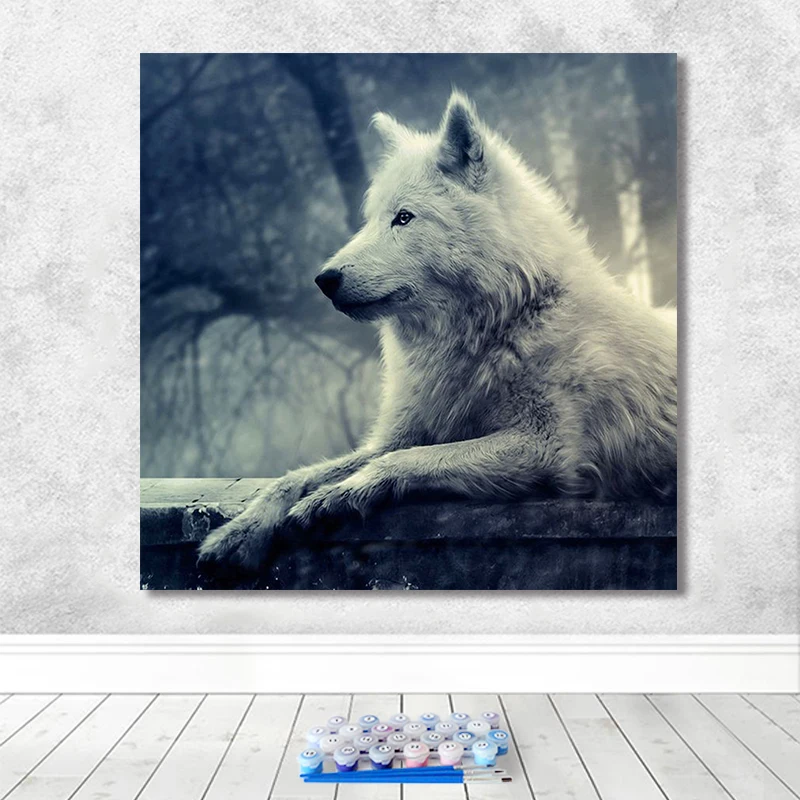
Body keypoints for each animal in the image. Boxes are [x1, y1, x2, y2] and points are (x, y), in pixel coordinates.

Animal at [198, 91, 677, 573]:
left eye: (404, 218)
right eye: (371, 220)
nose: (324, 279)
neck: (504, 323)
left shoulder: (546, 448)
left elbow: (407, 460)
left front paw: (338, 495)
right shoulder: (401, 432)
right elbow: (294, 478)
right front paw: (239, 532)